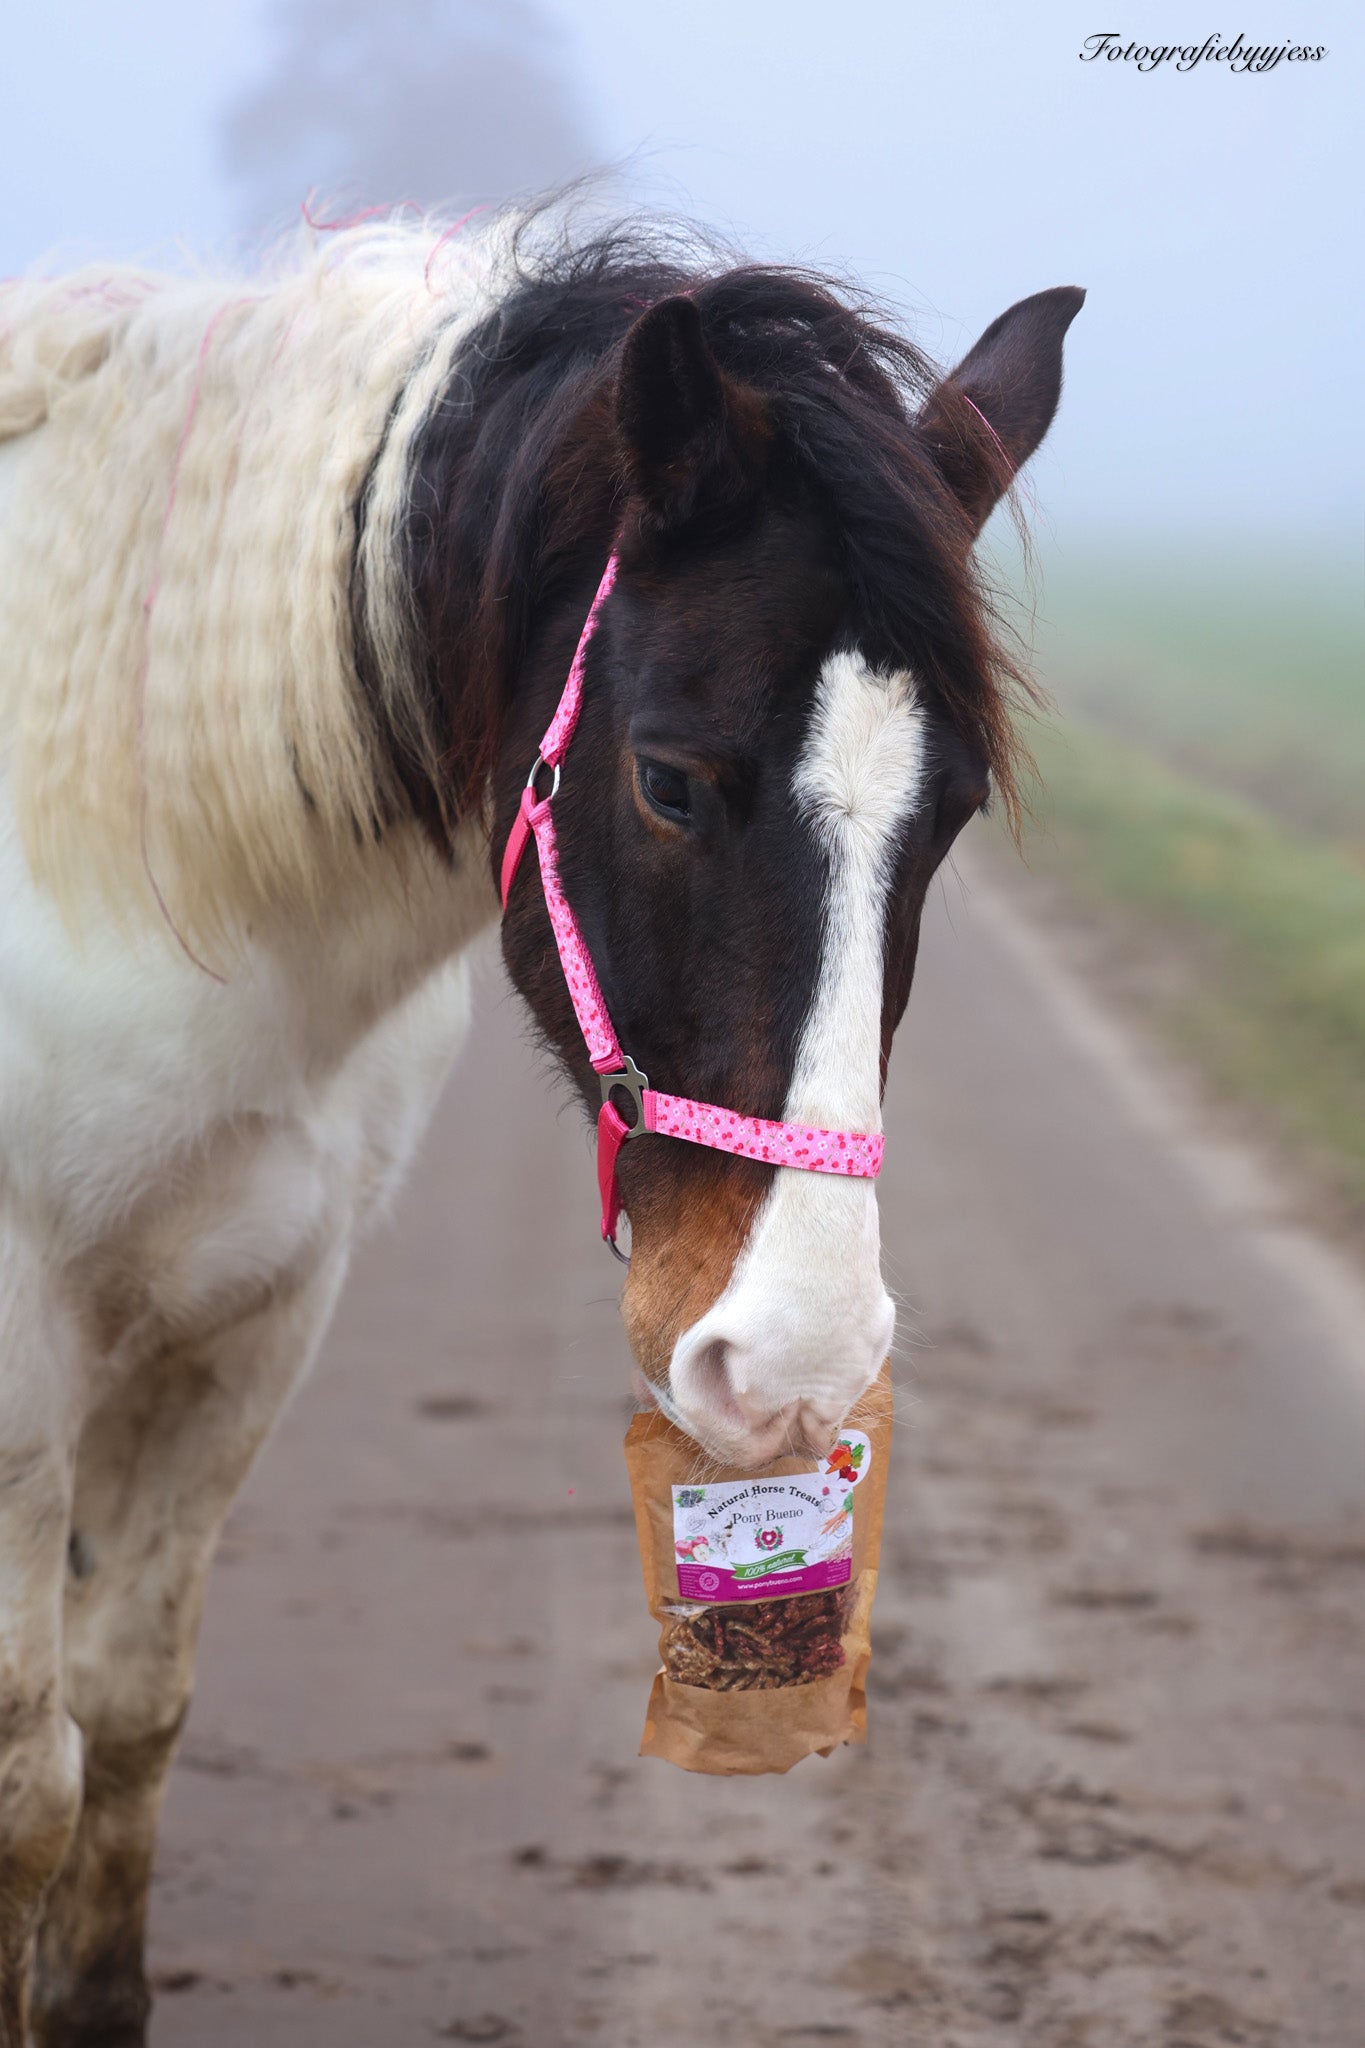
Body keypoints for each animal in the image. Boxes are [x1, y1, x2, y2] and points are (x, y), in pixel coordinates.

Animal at [0, 208, 1081, 2045]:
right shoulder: (22, 1362)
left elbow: (128, 1715)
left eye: (942, 819)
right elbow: (28, 1788)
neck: (125, 871)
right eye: (666, 779)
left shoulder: (247, 1324)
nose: (794, 1359)